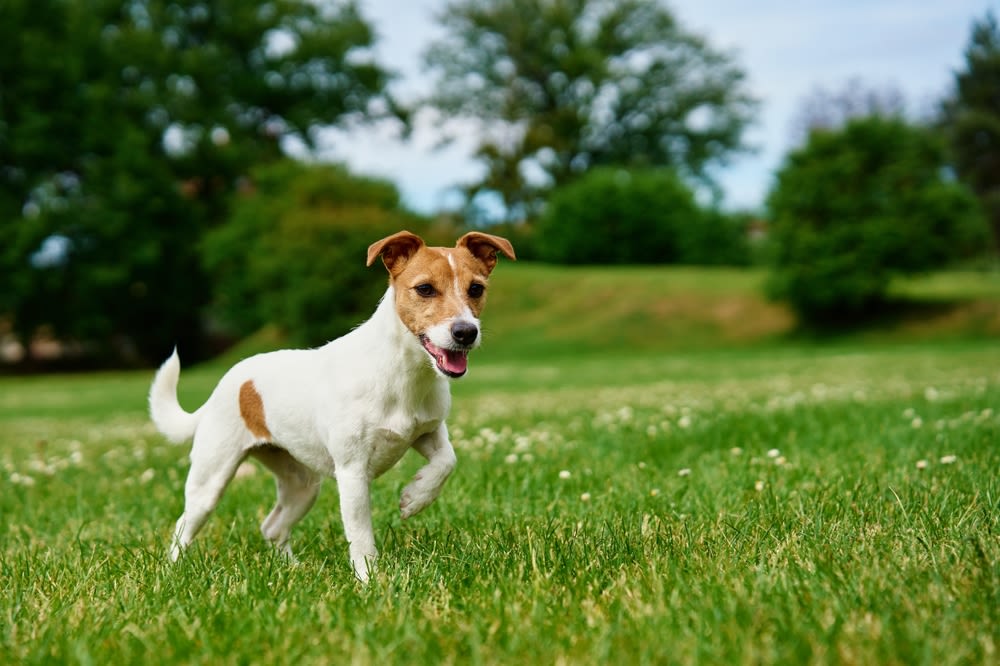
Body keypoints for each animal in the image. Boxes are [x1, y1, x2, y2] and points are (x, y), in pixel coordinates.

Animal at [152, 231, 520, 580]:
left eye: (476, 288)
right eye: (425, 289)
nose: (465, 332)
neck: (403, 374)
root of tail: (229, 382)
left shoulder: (428, 431)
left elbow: (447, 461)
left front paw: (415, 498)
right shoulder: (352, 471)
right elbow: (361, 535)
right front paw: (369, 579)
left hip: (302, 484)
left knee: (272, 526)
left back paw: (292, 569)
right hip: (211, 476)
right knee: (184, 525)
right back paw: (175, 570)